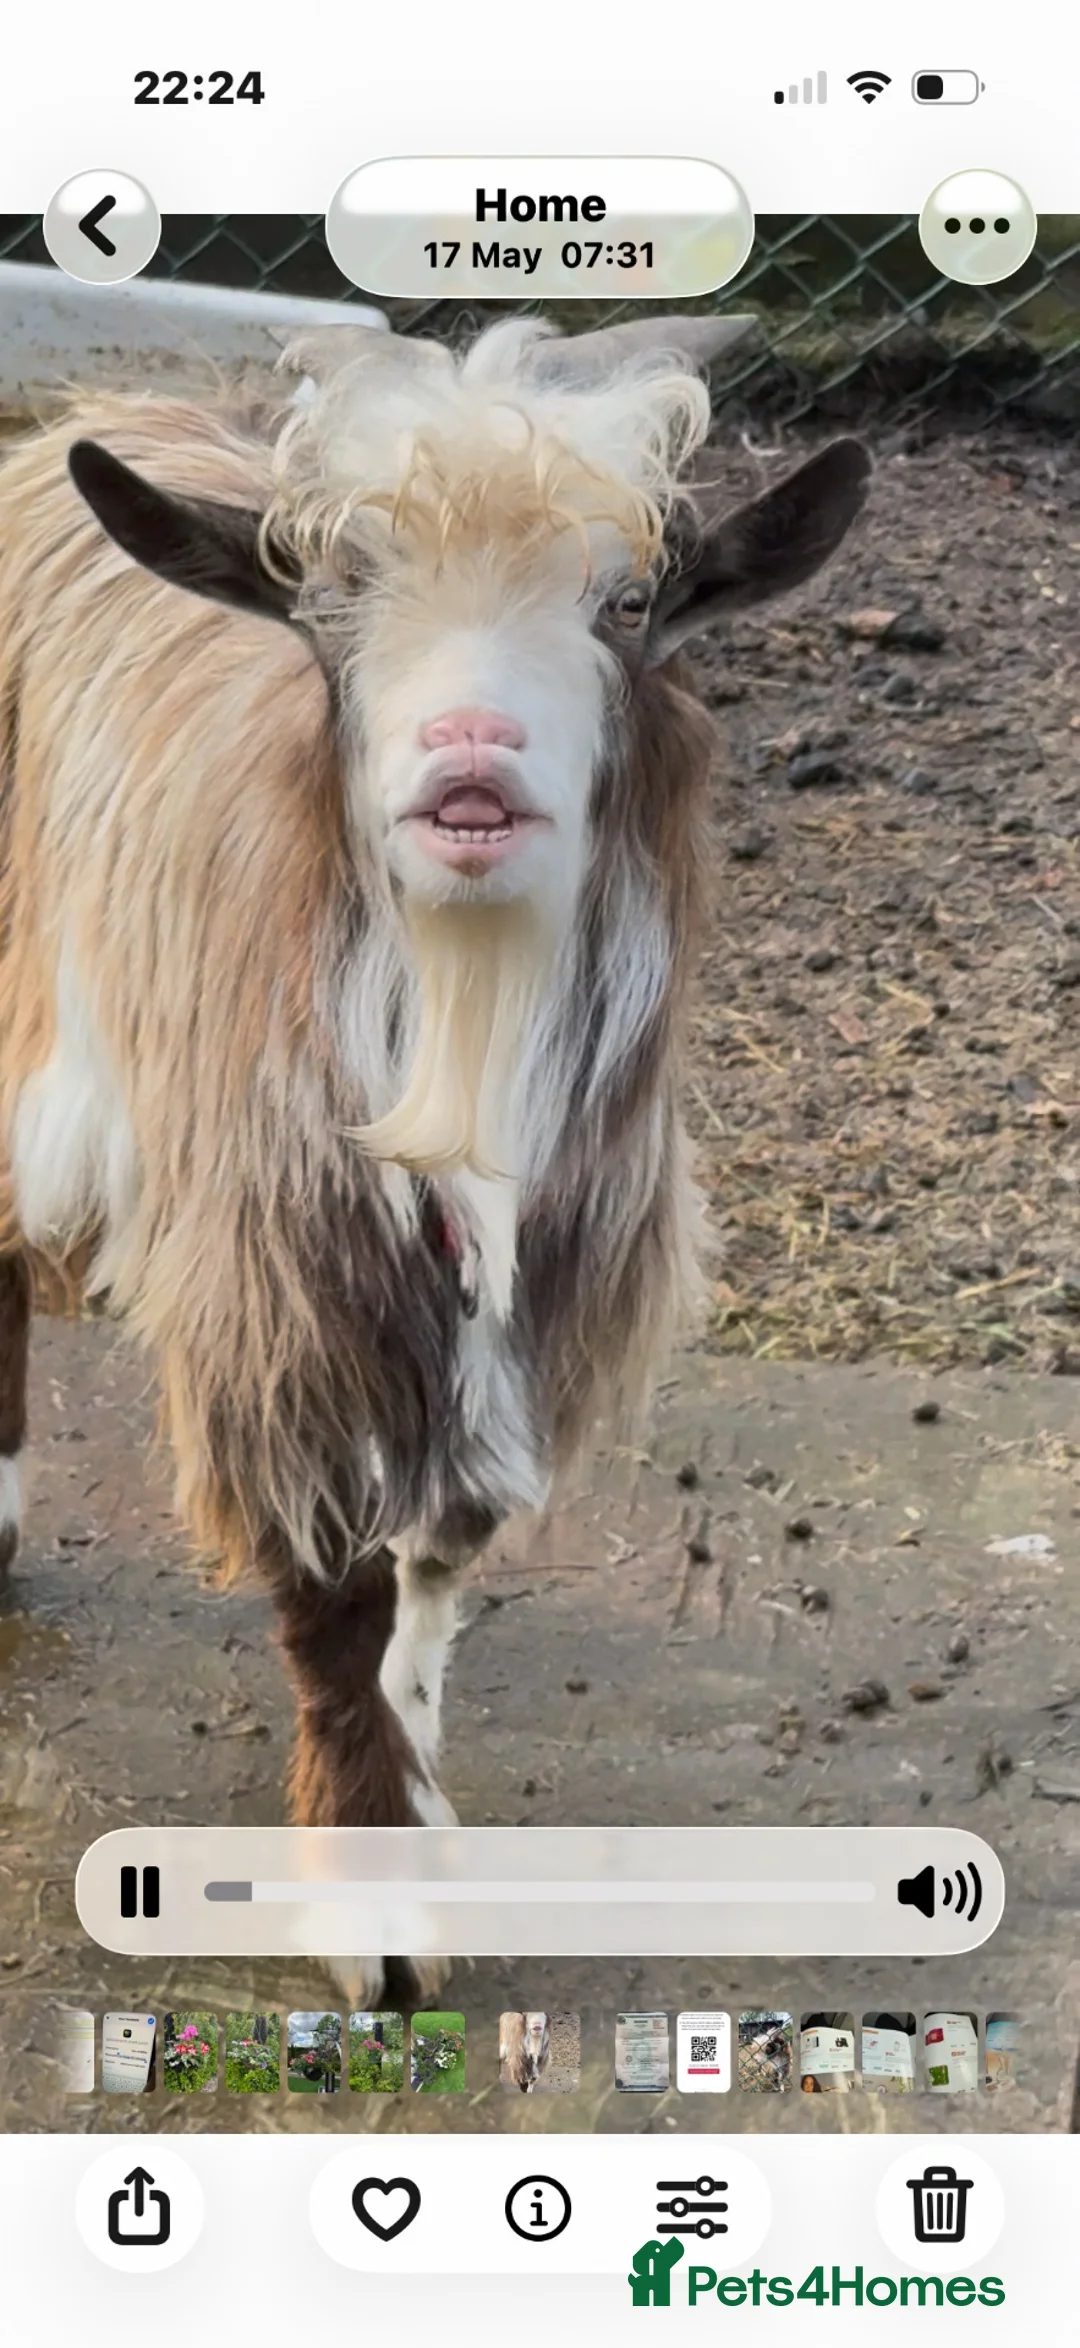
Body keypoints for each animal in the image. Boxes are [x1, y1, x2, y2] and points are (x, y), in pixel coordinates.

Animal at [0, 314, 870, 1998]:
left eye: (629, 601)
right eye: (331, 605)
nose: (471, 749)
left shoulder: (547, 1271)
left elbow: (440, 1552)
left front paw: (413, 1772)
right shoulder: (281, 1273)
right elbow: (332, 1592)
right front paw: (374, 1911)